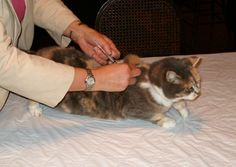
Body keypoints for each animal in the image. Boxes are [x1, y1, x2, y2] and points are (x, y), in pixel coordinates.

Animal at [29, 47, 201, 129]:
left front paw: (184, 110)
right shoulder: (133, 108)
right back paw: (34, 109)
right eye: (188, 88)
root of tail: (40, 52)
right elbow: (152, 114)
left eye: (198, 83)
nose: (198, 93)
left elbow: (178, 103)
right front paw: (168, 120)